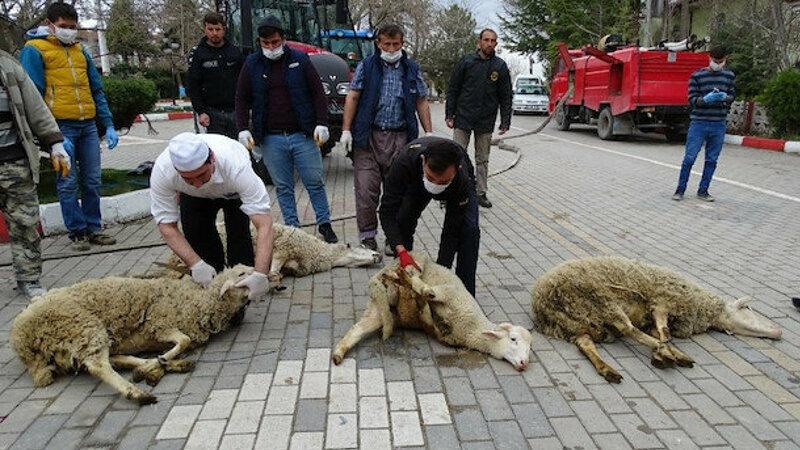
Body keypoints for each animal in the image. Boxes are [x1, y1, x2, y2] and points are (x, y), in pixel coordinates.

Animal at [11, 264, 256, 404]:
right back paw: (138, 393)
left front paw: (158, 363)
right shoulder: (159, 323)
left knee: (112, 359)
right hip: (83, 328)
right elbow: (184, 341)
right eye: (242, 273)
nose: (260, 273)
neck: (199, 300)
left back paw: (160, 366)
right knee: (99, 366)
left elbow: (180, 344)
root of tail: (21, 339)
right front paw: (160, 362)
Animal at [162, 222, 382, 282]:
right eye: (363, 247)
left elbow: (287, 270)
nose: (378, 256)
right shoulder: (282, 248)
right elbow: (274, 269)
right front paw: (272, 278)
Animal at [334, 251, 536, 370]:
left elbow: (424, 311)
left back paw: (338, 354)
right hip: (414, 264)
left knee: (357, 329)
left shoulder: (436, 329)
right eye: (513, 339)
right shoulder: (449, 293)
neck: (471, 328)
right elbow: (428, 292)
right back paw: (400, 276)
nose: (524, 364)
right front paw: (420, 289)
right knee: (409, 272)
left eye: (530, 348)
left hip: (380, 310)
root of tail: (375, 279)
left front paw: (417, 297)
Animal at [532, 256, 780, 384]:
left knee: (585, 344)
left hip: (575, 323)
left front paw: (669, 351)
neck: (700, 306)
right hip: (601, 300)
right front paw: (664, 352)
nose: (778, 332)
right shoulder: (662, 303)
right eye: (747, 307)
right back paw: (665, 356)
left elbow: (660, 331)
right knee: (628, 329)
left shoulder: (655, 316)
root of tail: (541, 304)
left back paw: (609, 370)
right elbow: (664, 332)